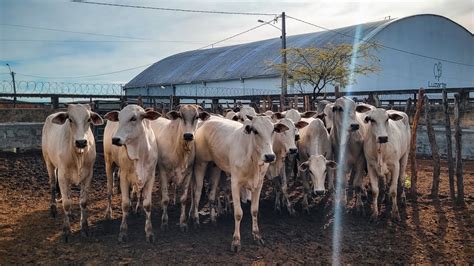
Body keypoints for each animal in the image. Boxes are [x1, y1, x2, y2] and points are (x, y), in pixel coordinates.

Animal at [41, 104, 103, 241]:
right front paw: (66, 230)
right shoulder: (62, 176)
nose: (81, 142)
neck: (78, 155)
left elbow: (83, 202)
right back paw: (53, 208)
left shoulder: (88, 175)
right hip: (49, 162)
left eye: (89, 119)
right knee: (52, 185)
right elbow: (66, 203)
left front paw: (84, 227)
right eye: (70, 119)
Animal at [103, 105, 161, 242]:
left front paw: (149, 232)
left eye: (133, 118)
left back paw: (137, 208)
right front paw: (123, 231)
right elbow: (124, 204)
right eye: (118, 119)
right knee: (109, 190)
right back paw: (108, 212)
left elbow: (147, 204)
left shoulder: (150, 177)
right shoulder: (124, 176)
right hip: (109, 163)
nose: (115, 139)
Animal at [151, 103, 210, 231]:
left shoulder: (188, 173)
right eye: (181, 116)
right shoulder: (163, 172)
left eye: (196, 117)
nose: (188, 135)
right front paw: (164, 222)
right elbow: (165, 199)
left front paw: (183, 223)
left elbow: (183, 199)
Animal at [192, 116, 288, 251]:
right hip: (200, 164)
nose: (269, 156)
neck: (252, 159)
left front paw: (257, 235)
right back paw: (196, 220)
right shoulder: (235, 183)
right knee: (197, 192)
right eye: (255, 131)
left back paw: (213, 219)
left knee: (212, 193)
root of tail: (206, 120)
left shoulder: (259, 184)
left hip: (216, 167)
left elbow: (254, 210)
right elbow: (238, 214)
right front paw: (236, 241)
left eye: (273, 130)